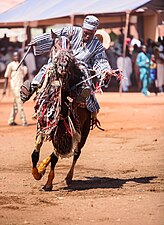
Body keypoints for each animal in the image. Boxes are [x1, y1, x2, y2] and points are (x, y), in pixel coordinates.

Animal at [30, 33, 93, 191]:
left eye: (69, 47)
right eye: (55, 46)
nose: (63, 66)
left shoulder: (63, 132)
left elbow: (55, 156)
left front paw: (48, 182)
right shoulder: (43, 126)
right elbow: (35, 153)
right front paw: (37, 173)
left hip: (83, 132)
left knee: (76, 153)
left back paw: (68, 177)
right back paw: (42, 168)